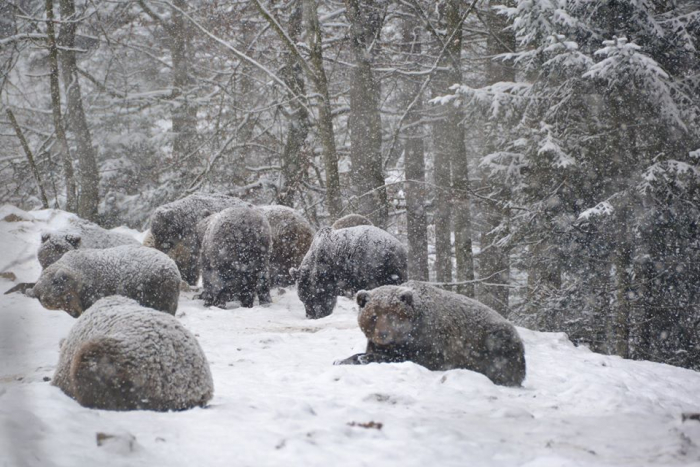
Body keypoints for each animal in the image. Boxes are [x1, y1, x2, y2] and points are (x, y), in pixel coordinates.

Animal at [28, 245, 182, 318]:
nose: (75, 314)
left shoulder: (95, 291)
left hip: (156, 291)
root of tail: (173, 268)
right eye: (57, 306)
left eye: (67, 297)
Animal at [338, 282, 524, 388]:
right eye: (374, 316)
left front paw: (365, 358)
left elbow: (416, 358)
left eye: (392, 316)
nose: (383, 334)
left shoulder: (432, 342)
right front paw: (343, 359)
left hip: (494, 342)